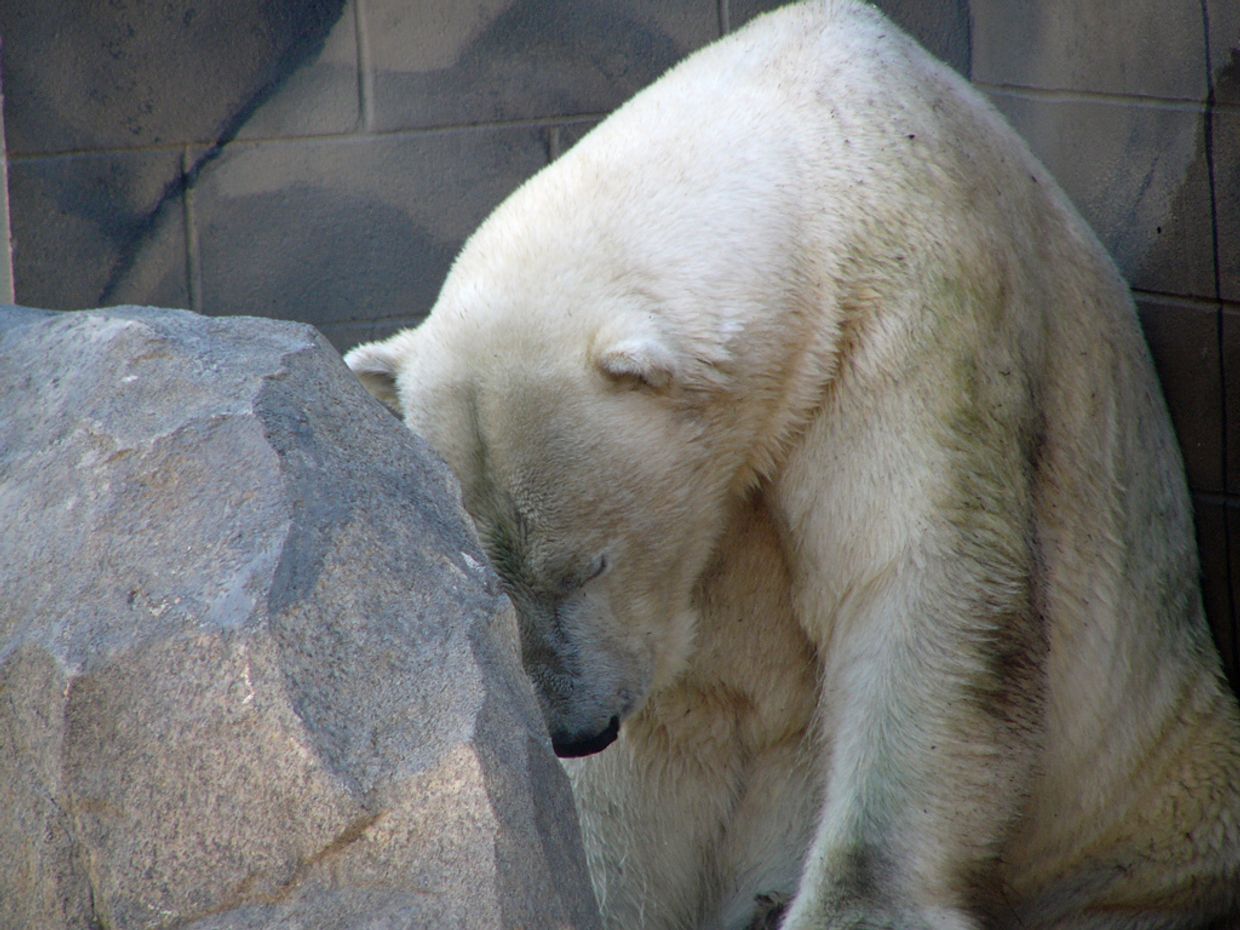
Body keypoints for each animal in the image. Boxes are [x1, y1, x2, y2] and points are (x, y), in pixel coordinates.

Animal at [344, 1, 1240, 927]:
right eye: (491, 576)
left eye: (589, 562)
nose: (574, 732)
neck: (810, 133)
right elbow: (624, 798)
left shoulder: (914, 321)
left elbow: (915, 585)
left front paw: (859, 903)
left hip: (1145, 797)